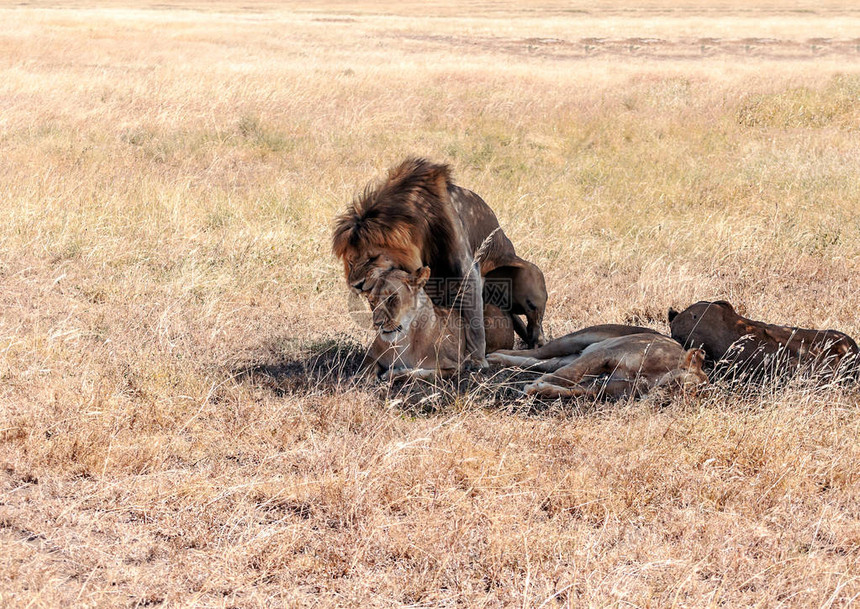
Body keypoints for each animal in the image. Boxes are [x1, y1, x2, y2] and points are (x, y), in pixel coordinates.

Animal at [332, 159, 548, 368]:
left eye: (372, 258)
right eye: (351, 262)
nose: (356, 285)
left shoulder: (468, 270)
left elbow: (475, 324)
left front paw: (477, 360)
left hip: (528, 275)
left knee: (534, 321)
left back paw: (537, 343)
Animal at [362, 266, 510, 380]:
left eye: (392, 298)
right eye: (371, 301)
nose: (377, 324)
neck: (403, 340)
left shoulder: (456, 367)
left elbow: (424, 374)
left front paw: (393, 374)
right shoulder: (370, 355)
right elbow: (368, 367)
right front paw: (369, 379)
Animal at [488, 324, 708, 400]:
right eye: (683, 387)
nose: (663, 401)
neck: (654, 376)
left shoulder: (604, 386)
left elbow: (574, 390)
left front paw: (541, 389)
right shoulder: (606, 353)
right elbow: (567, 376)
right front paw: (535, 386)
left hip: (567, 357)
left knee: (539, 362)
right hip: (573, 340)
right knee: (536, 352)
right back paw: (493, 356)